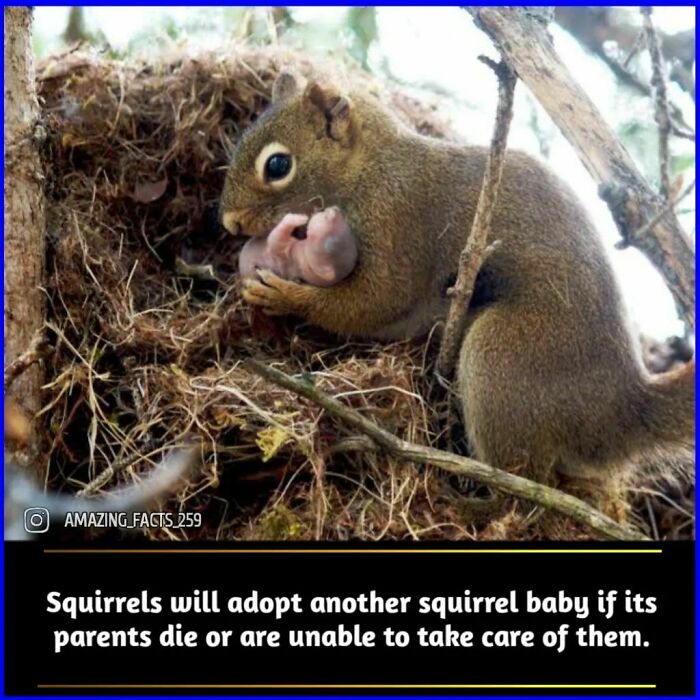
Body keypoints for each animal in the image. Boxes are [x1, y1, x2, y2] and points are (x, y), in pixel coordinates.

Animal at [220, 69, 695, 487]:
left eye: (277, 165)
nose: (229, 223)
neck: (369, 170)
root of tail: (622, 410)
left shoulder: (399, 223)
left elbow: (375, 302)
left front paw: (283, 294)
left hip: (503, 355)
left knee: (525, 485)